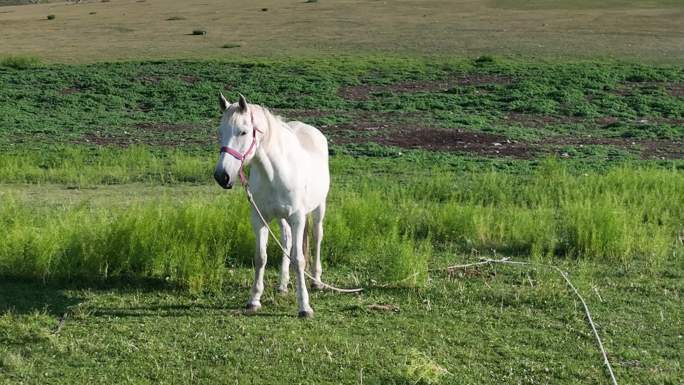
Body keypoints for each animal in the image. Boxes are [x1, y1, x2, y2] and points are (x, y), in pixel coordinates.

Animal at [215, 91, 330, 316]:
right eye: (220, 132)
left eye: (243, 132)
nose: (222, 176)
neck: (276, 173)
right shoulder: (260, 219)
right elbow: (261, 257)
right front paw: (254, 300)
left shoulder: (297, 218)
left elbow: (299, 259)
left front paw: (304, 306)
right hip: (281, 217)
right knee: (286, 240)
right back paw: (283, 285)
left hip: (318, 208)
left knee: (317, 237)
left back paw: (316, 281)